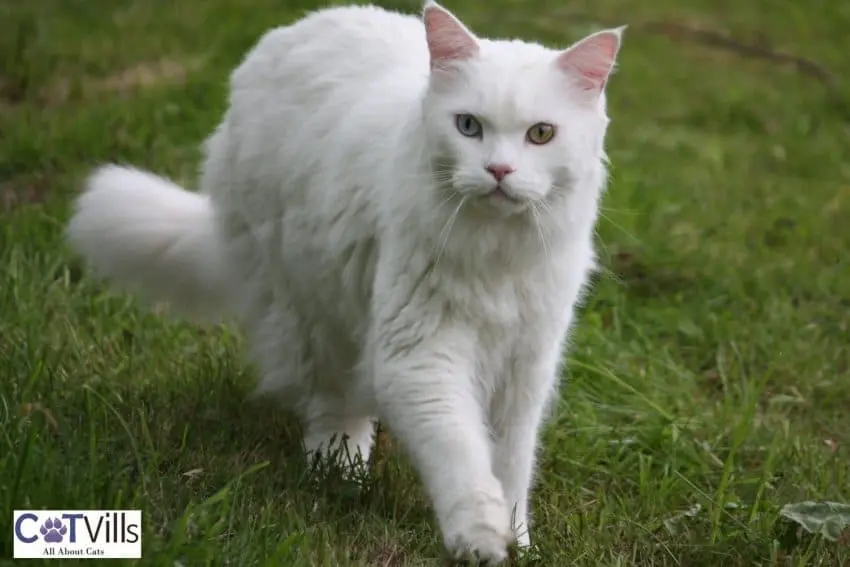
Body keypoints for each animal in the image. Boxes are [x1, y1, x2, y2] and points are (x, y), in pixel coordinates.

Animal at [66, 2, 624, 564]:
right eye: (468, 126)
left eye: (541, 134)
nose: (499, 170)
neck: (497, 253)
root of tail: (297, 28)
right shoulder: (420, 357)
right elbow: (460, 453)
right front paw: (480, 538)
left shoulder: (525, 367)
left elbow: (510, 466)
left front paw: (519, 541)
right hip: (316, 307)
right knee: (335, 405)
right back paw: (339, 476)